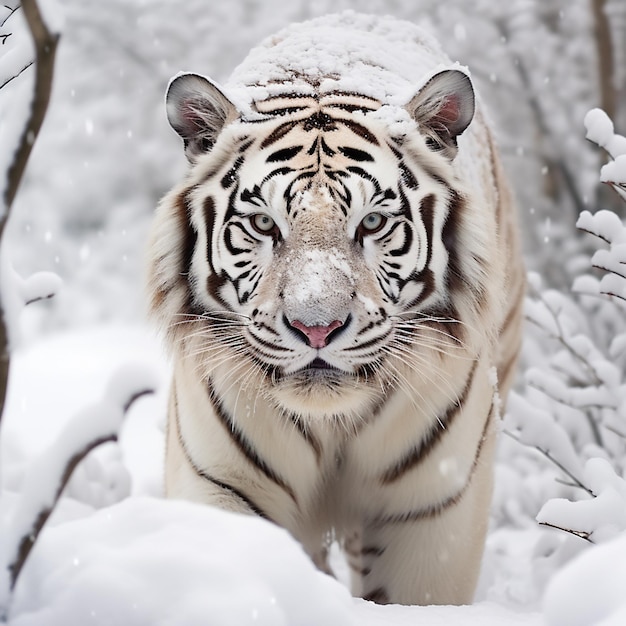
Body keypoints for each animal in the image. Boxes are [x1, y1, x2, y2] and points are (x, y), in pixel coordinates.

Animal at [146, 11, 520, 604]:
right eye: (263, 223)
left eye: (372, 222)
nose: (316, 329)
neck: (332, 425)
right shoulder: (222, 485)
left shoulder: (434, 508)